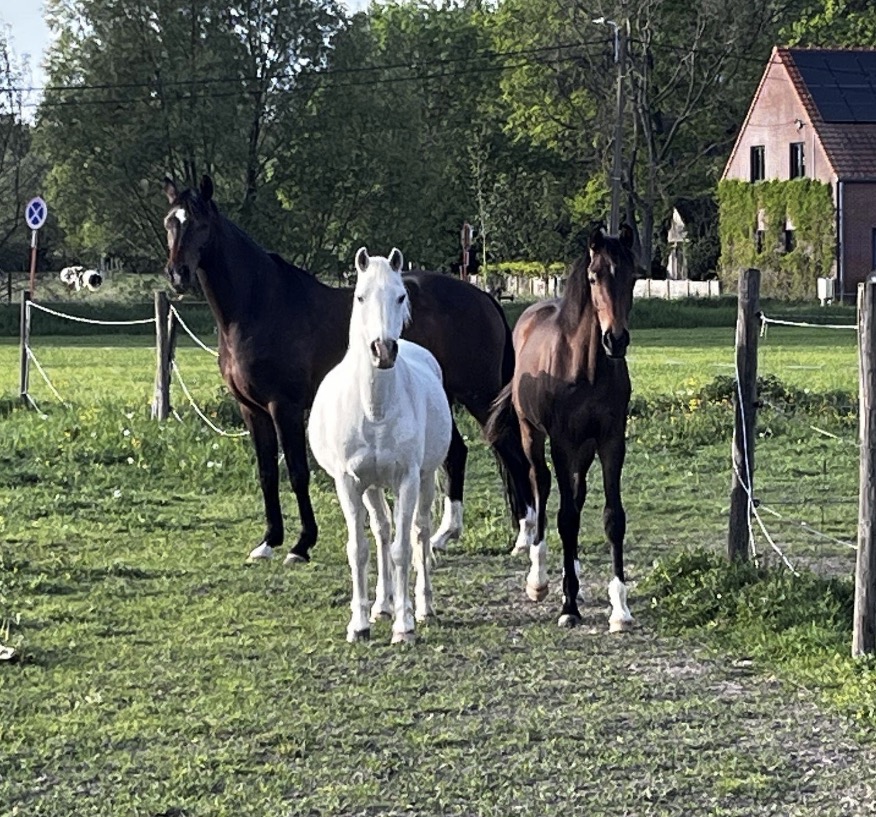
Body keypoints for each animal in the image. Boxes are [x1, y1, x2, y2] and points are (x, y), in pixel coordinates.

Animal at [162, 175, 532, 565]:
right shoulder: (252, 410)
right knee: (456, 454)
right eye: (170, 222)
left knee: (511, 451)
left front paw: (301, 545)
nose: (177, 274)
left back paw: (523, 537)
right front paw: (268, 541)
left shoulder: (285, 407)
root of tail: (483, 297)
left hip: (481, 396)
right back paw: (443, 536)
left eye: (200, 223)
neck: (260, 308)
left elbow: (297, 473)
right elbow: (267, 474)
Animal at [308, 247, 452, 644]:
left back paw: (422, 606)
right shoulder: (348, 482)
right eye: (359, 297)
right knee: (382, 531)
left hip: (425, 479)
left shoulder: (407, 480)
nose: (383, 349)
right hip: (372, 486)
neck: (374, 409)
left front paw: (405, 627)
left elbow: (404, 549)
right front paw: (359, 624)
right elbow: (359, 549)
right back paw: (382, 605)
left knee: (418, 533)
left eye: (400, 296)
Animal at [486, 226, 637, 632]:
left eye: (632, 277)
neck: (585, 367)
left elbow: (612, 518)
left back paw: (577, 576)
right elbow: (565, 518)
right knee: (540, 484)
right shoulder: (561, 441)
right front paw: (568, 605)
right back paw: (538, 579)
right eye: (594, 276)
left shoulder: (610, 441)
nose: (615, 340)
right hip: (532, 434)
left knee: (577, 493)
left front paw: (619, 609)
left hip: (583, 450)